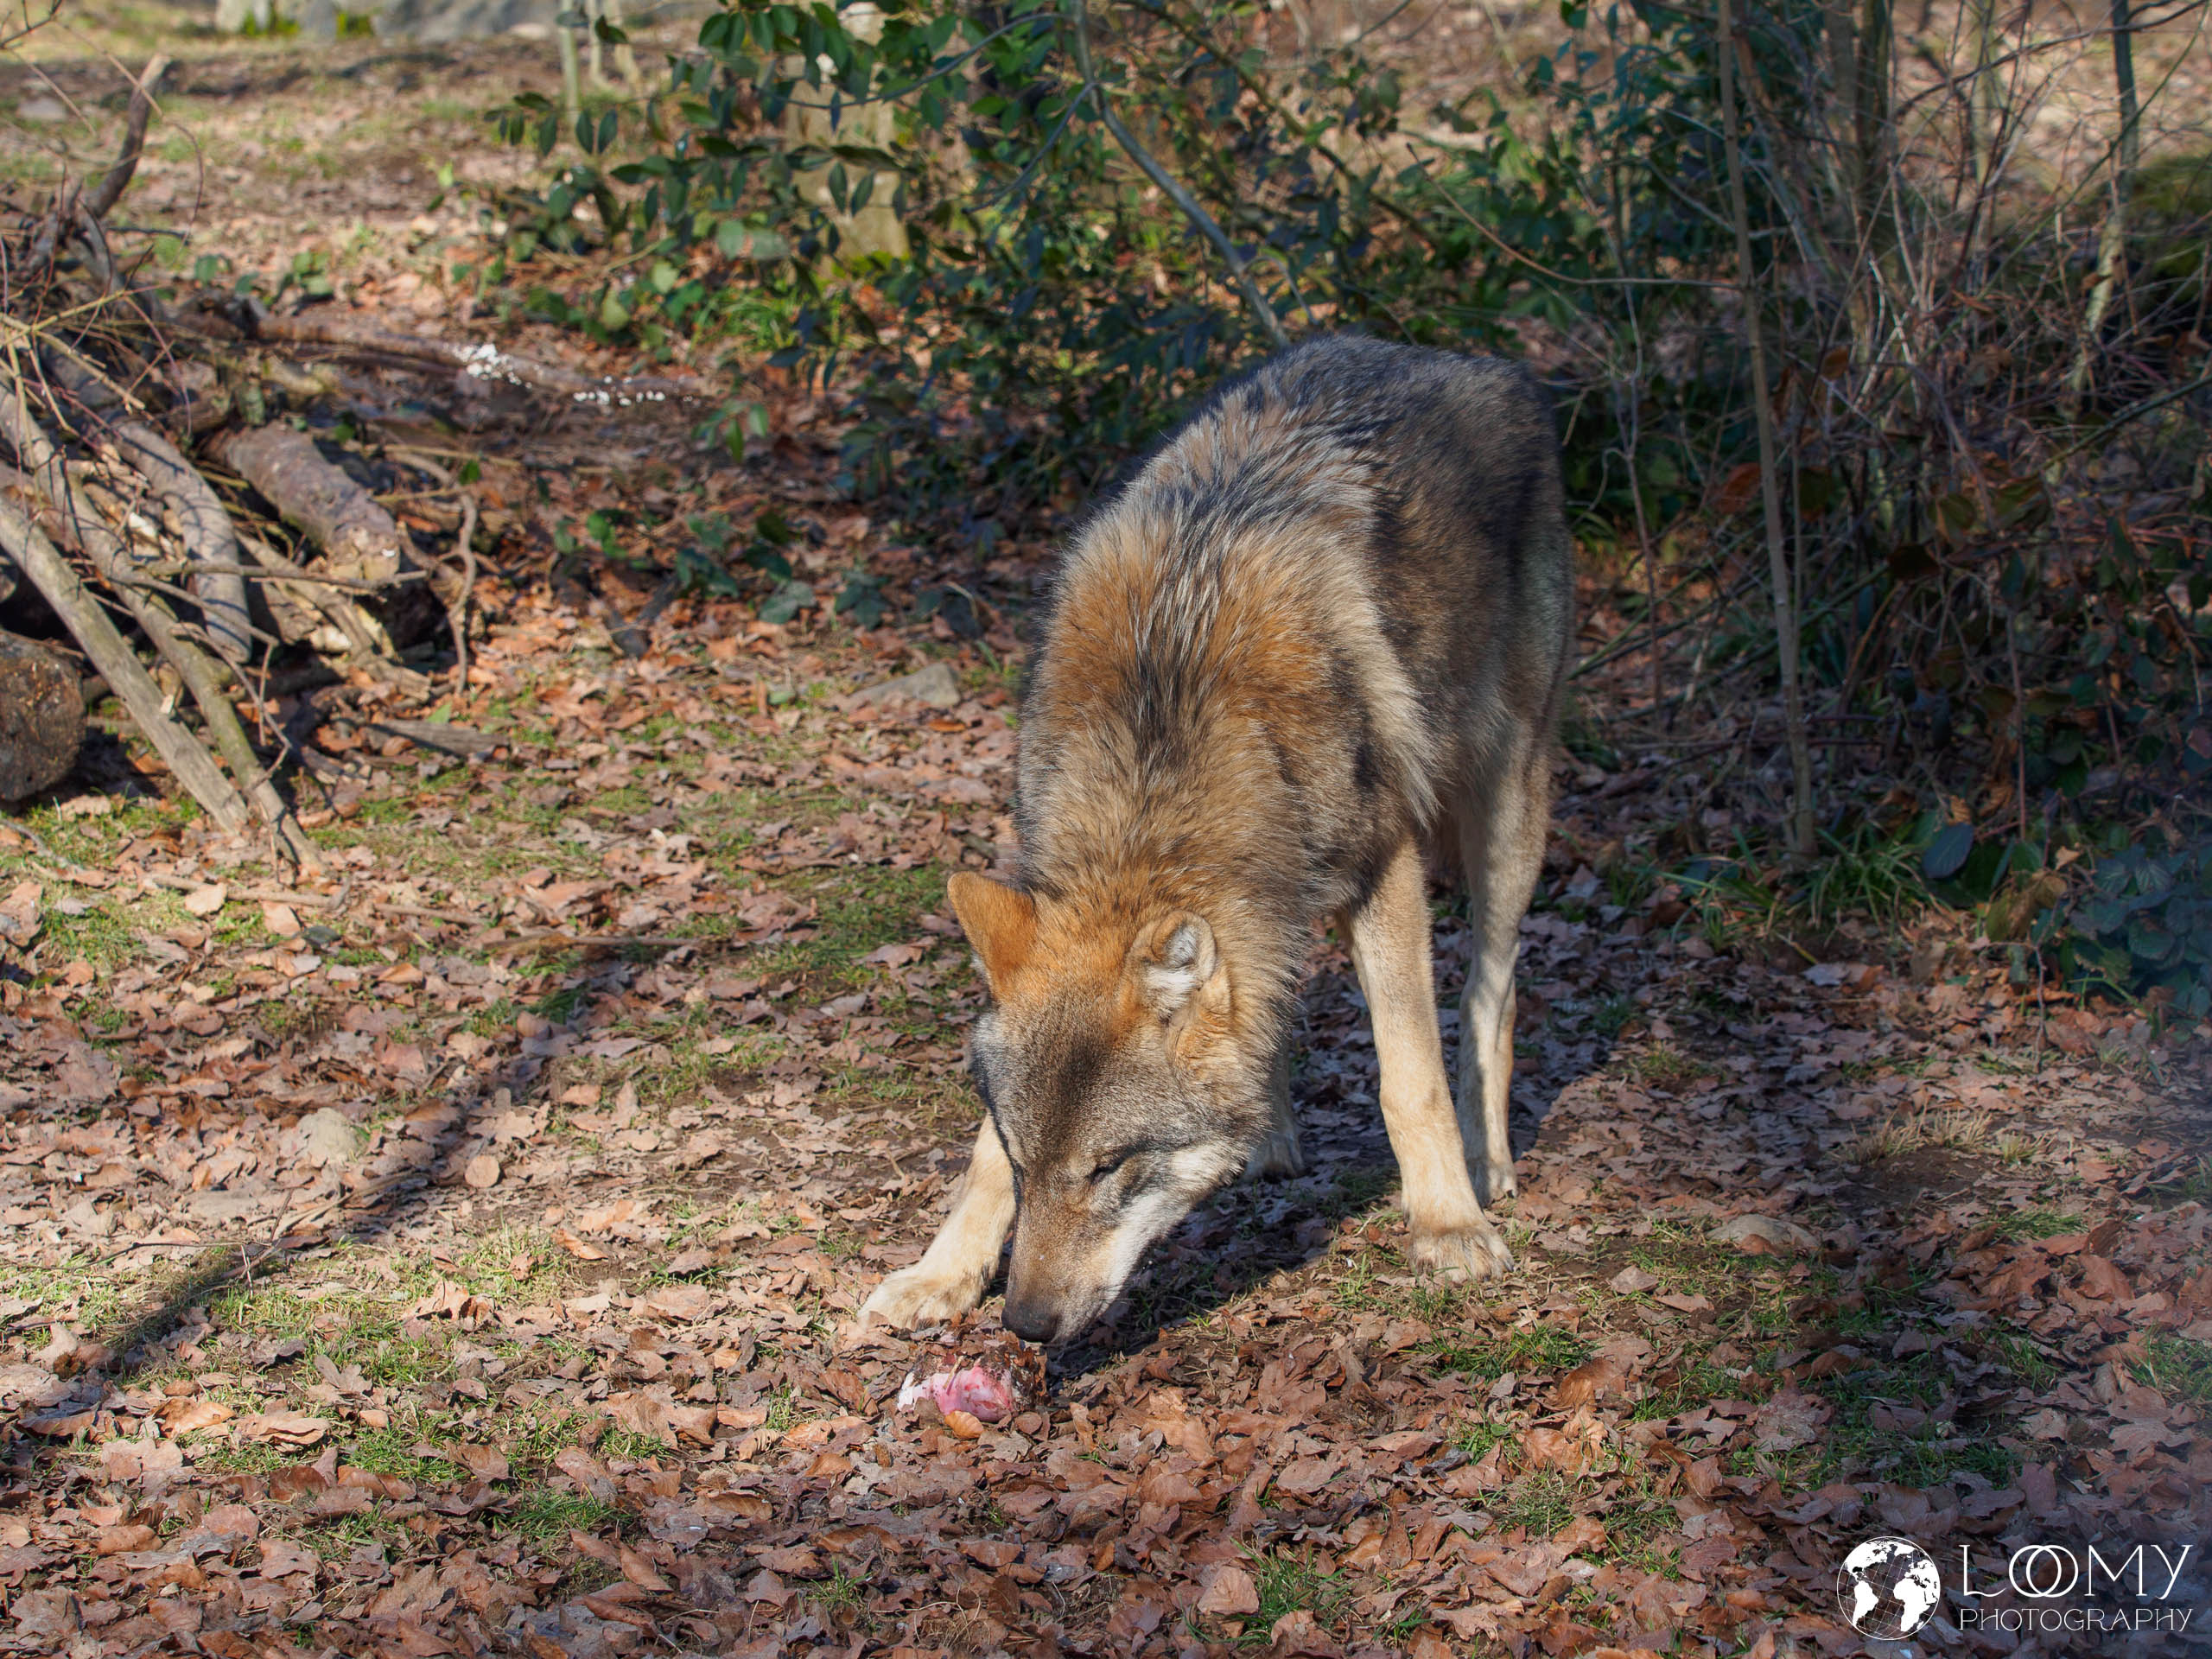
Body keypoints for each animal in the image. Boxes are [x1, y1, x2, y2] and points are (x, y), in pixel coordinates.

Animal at [861, 335, 1574, 1345]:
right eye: (1033, 1160)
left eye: (1112, 1167)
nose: (1025, 1325)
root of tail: (1464, 357)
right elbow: (978, 1165)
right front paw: (940, 1271)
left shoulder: (1384, 866)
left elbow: (1410, 1073)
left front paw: (1446, 1227)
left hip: (1507, 808)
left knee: (1489, 992)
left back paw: (1488, 1162)